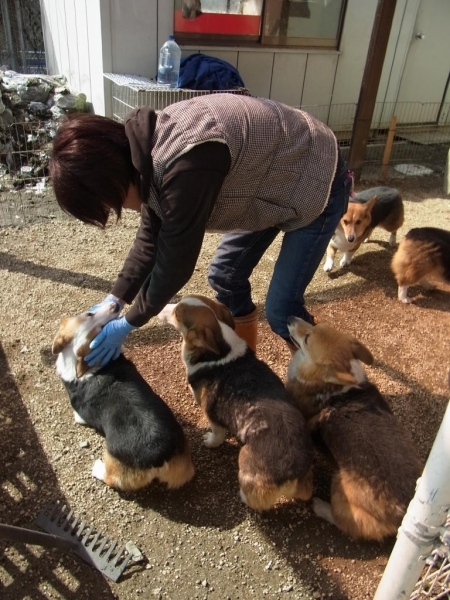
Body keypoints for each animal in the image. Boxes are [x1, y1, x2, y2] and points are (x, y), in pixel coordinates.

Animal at [51, 302, 194, 490]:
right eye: (90, 314)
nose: (115, 304)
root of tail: (159, 455)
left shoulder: (80, 416)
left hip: (112, 460)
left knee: (111, 478)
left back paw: (98, 468)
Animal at [159, 296, 312, 510]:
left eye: (176, 314)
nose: (160, 308)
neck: (220, 353)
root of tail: (294, 474)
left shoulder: (211, 416)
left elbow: (216, 434)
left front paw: (210, 442)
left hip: (244, 460)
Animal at [284, 316, 422, 540]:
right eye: (314, 324)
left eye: (307, 339)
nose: (289, 318)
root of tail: (403, 513)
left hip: (338, 483)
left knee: (345, 522)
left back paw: (321, 507)